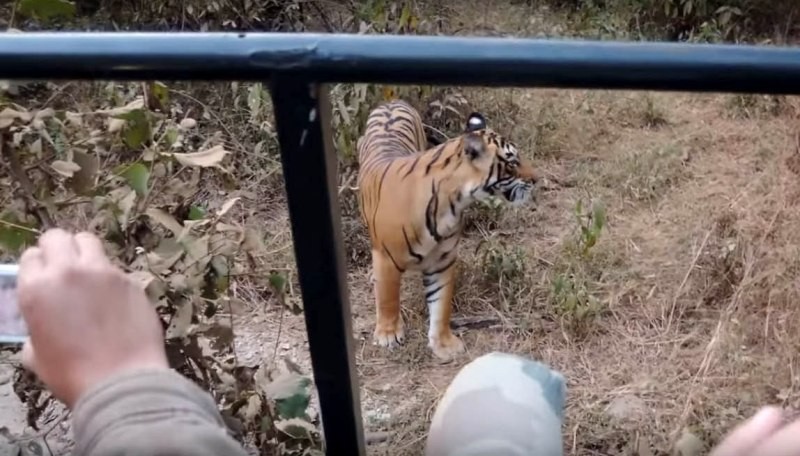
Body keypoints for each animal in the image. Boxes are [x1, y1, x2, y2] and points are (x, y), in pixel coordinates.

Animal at [356, 99, 539, 361]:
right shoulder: (387, 259)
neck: (451, 204)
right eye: (513, 162)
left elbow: (441, 305)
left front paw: (444, 343)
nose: (537, 179)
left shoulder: (442, 261)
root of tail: (392, 101)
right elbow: (389, 298)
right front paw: (388, 335)